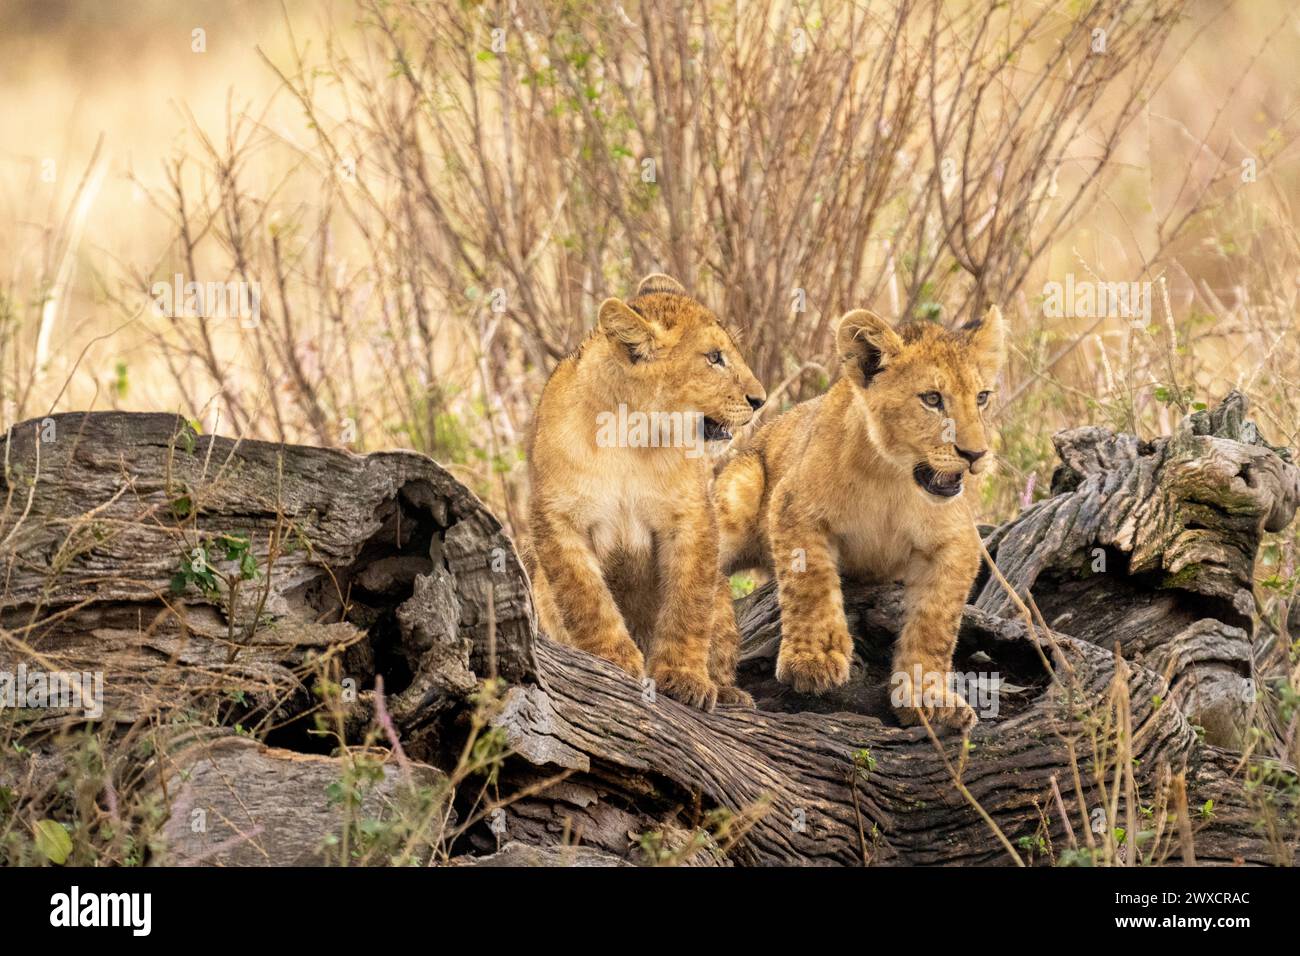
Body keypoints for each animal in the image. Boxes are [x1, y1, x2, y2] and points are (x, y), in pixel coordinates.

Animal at [525, 273, 767, 710]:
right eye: (714, 357)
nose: (760, 400)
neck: (631, 434)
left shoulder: (691, 516)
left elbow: (688, 606)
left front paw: (684, 677)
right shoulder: (556, 518)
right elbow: (586, 599)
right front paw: (613, 660)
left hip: (723, 598)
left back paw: (729, 692)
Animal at [714, 306, 1006, 730]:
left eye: (982, 398)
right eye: (932, 399)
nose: (975, 454)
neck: (894, 479)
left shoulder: (957, 542)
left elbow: (935, 624)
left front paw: (927, 697)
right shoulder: (793, 506)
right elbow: (811, 584)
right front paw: (814, 661)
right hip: (743, 484)